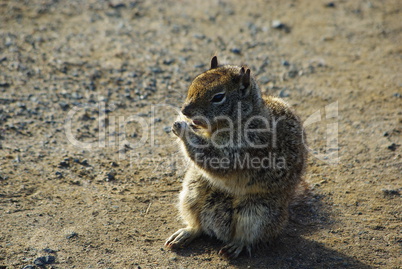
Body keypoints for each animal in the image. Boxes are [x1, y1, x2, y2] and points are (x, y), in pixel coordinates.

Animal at [165, 55, 306, 258]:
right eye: (193, 82)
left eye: (218, 97)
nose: (185, 110)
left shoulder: (248, 144)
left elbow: (218, 160)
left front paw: (182, 126)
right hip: (192, 193)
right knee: (198, 225)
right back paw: (185, 233)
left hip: (257, 213)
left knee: (251, 236)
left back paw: (238, 245)